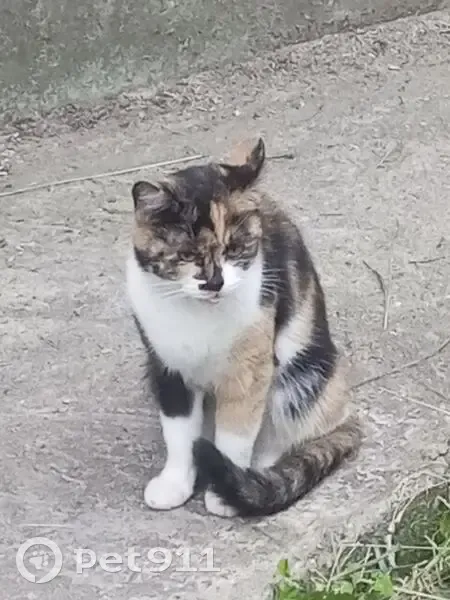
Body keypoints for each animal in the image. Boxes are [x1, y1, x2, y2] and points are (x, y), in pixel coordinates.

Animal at [126, 137, 361, 517]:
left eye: (234, 248)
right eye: (187, 254)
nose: (214, 283)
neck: (198, 317)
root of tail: (346, 413)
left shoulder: (249, 370)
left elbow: (235, 434)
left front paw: (223, 493)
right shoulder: (166, 367)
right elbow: (178, 433)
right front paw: (175, 484)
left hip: (300, 374)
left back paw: (257, 477)